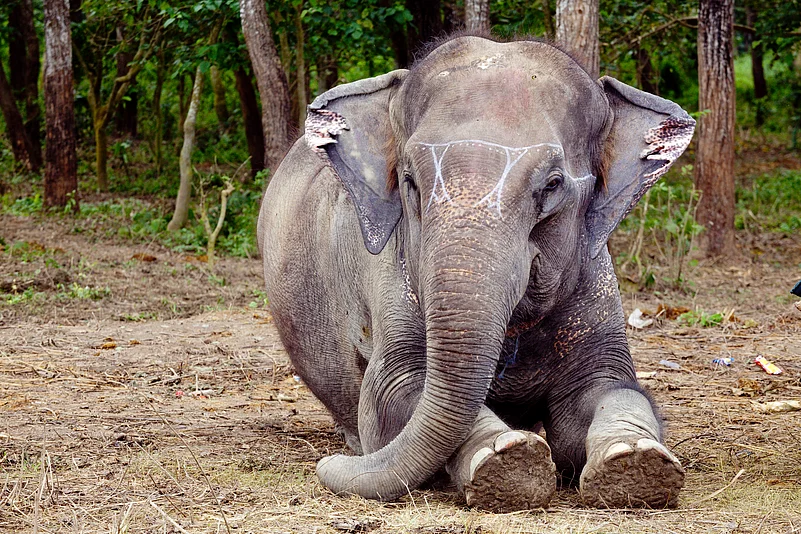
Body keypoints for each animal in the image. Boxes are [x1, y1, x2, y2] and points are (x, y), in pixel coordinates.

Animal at [257, 35, 694, 511]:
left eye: (552, 184)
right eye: (409, 182)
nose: (328, 465)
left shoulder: (595, 276)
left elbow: (607, 389)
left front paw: (636, 463)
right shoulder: (387, 276)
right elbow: (394, 394)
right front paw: (506, 460)